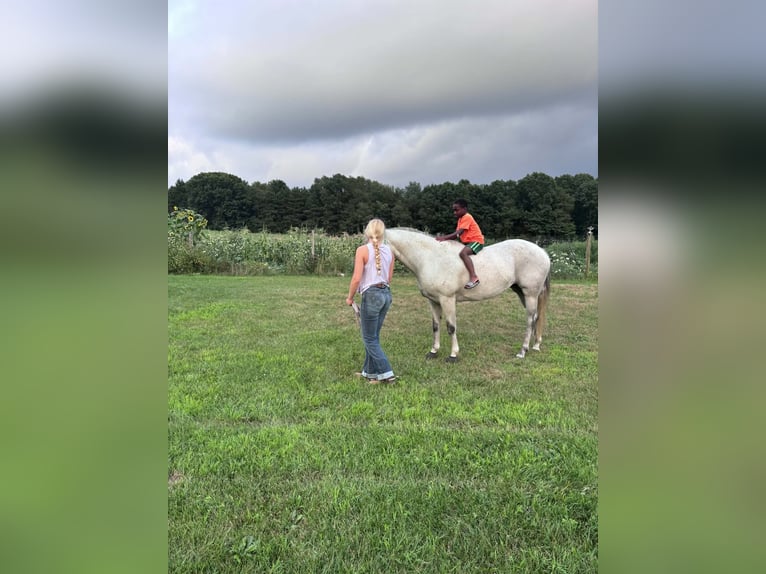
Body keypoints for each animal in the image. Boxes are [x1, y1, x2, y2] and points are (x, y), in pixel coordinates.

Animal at [385, 227, 551, 361]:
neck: (431, 257)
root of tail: (542, 252)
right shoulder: (433, 301)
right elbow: (435, 326)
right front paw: (433, 352)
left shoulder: (447, 300)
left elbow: (451, 327)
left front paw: (453, 355)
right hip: (522, 293)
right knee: (536, 317)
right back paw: (535, 345)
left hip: (530, 294)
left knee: (530, 320)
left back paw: (522, 351)